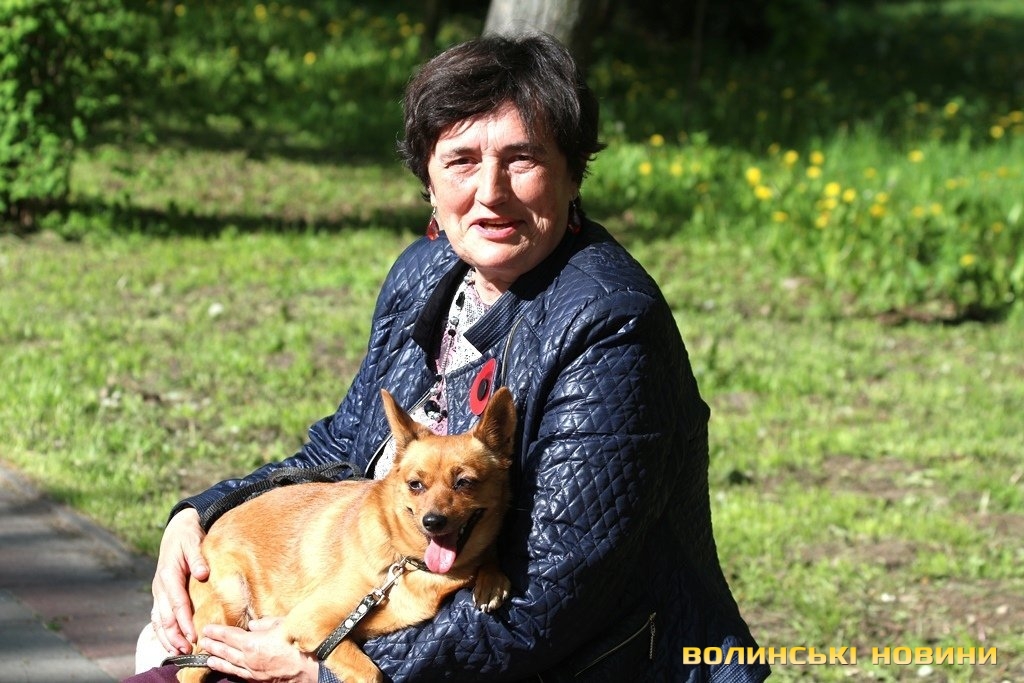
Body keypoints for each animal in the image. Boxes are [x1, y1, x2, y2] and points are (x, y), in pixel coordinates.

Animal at [177, 387, 516, 683]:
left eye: (464, 483)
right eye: (415, 485)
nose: (432, 521)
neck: (408, 564)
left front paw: (492, 580)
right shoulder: (310, 623)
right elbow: (369, 673)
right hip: (229, 608)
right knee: (187, 671)